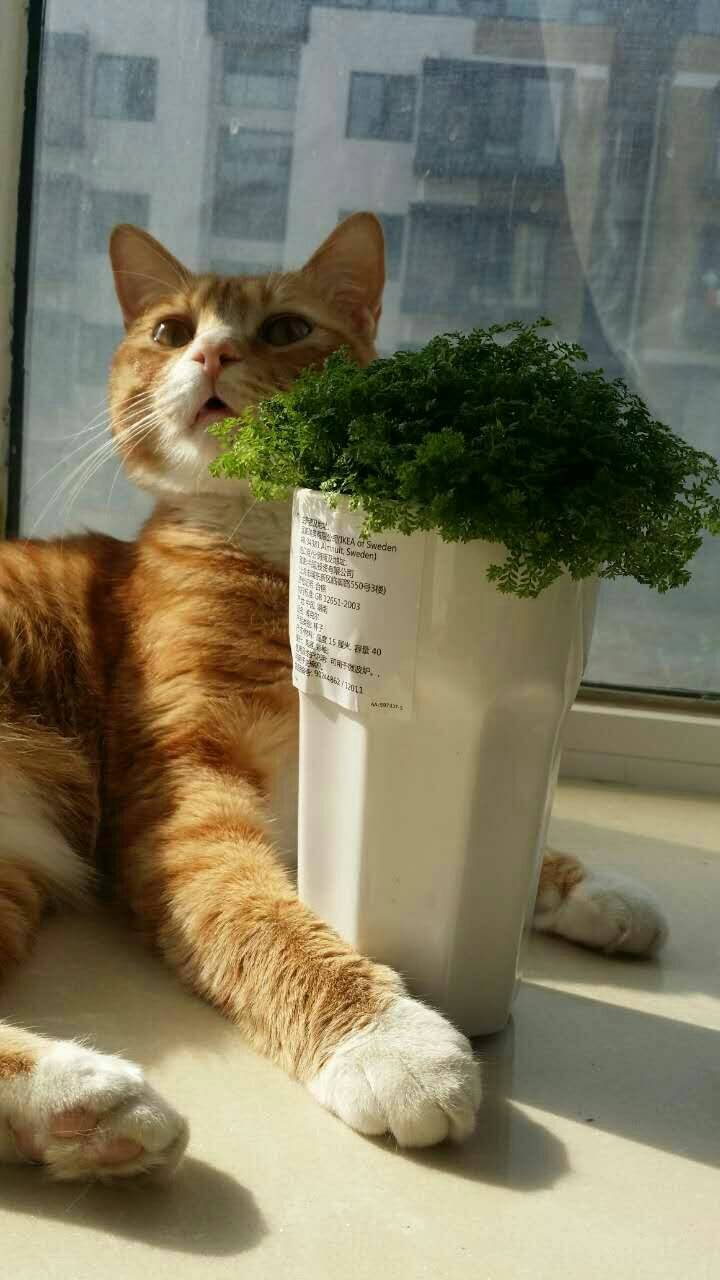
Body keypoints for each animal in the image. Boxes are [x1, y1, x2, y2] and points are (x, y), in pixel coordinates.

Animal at [0, 213, 667, 1181]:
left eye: (285, 329)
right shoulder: (184, 792)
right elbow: (257, 911)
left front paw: (591, 889)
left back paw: (82, 1112)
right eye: (170, 330)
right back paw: (92, 1092)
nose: (212, 354)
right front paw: (390, 1041)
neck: (278, 553)